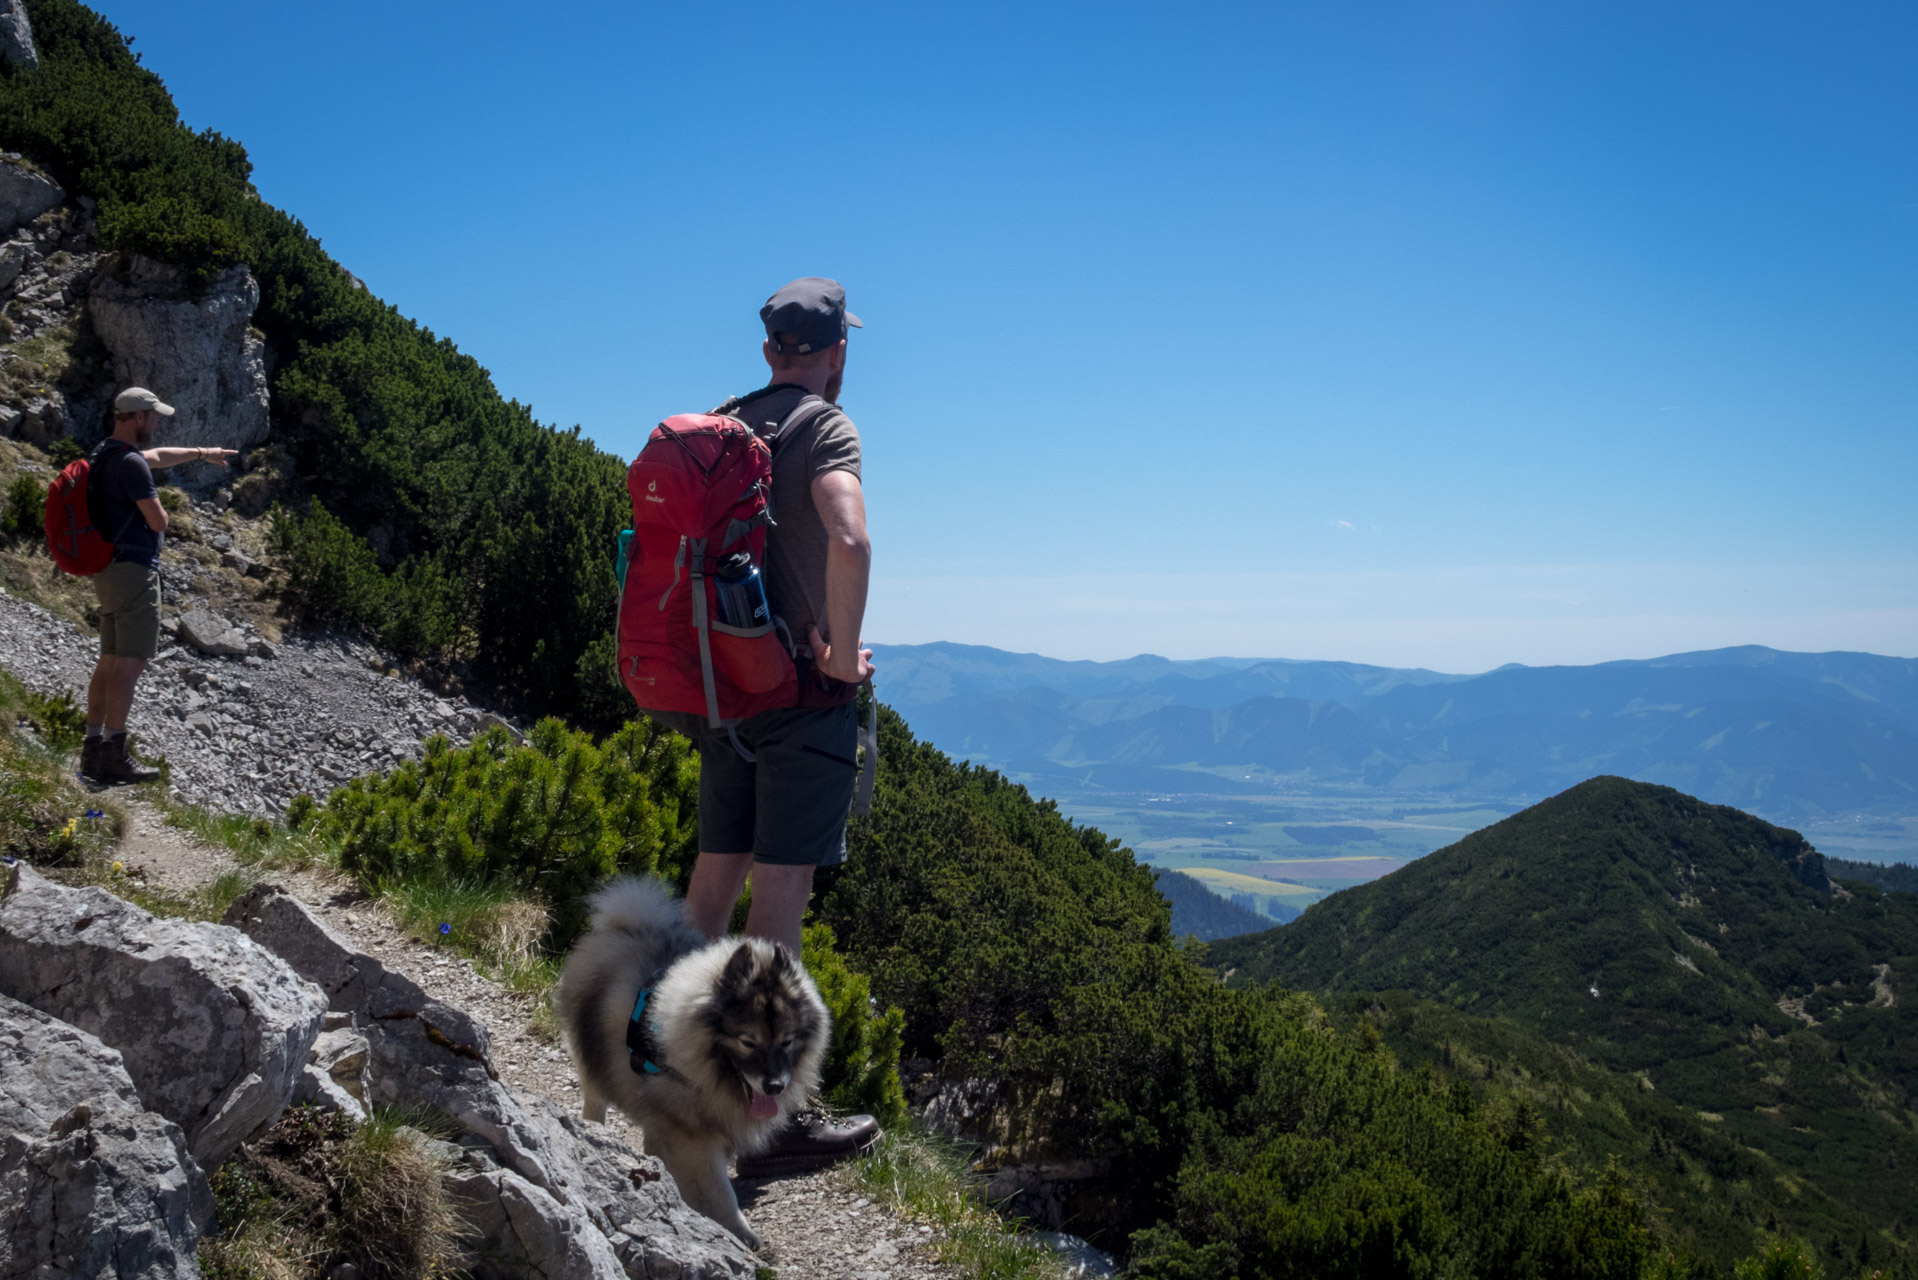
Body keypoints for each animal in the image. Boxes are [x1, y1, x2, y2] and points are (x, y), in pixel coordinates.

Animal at [552, 875, 828, 1243]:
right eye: (748, 1042)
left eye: (787, 1041)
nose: (774, 1086)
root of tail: (626, 925)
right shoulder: (691, 1134)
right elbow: (719, 1192)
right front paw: (738, 1232)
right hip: (594, 1055)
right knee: (595, 1098)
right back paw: (592, 1130)